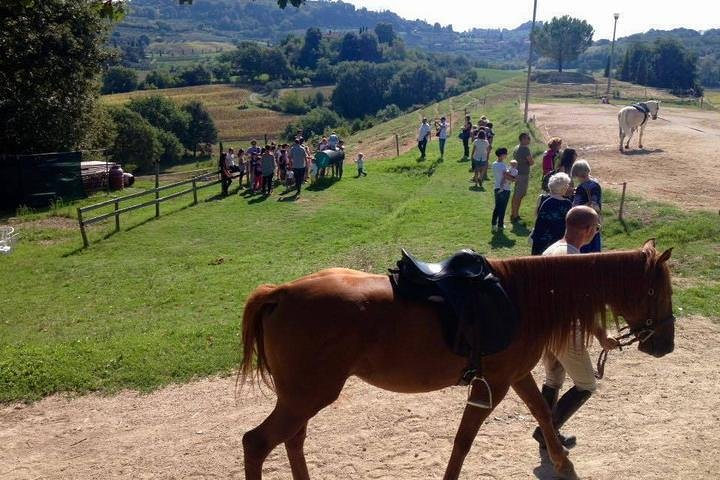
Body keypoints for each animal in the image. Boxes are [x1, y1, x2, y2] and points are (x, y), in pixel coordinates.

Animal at [240, 240, 676, 480]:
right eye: (658, 292)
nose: (665, 345)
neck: (521, 297)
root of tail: (280, 293)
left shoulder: (516, 376)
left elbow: (542, 412)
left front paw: (562, 462)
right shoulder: (492, 387)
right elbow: (464, 441)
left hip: (303, 399)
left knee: (292, 440)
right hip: (306, 397)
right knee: (257, 443)